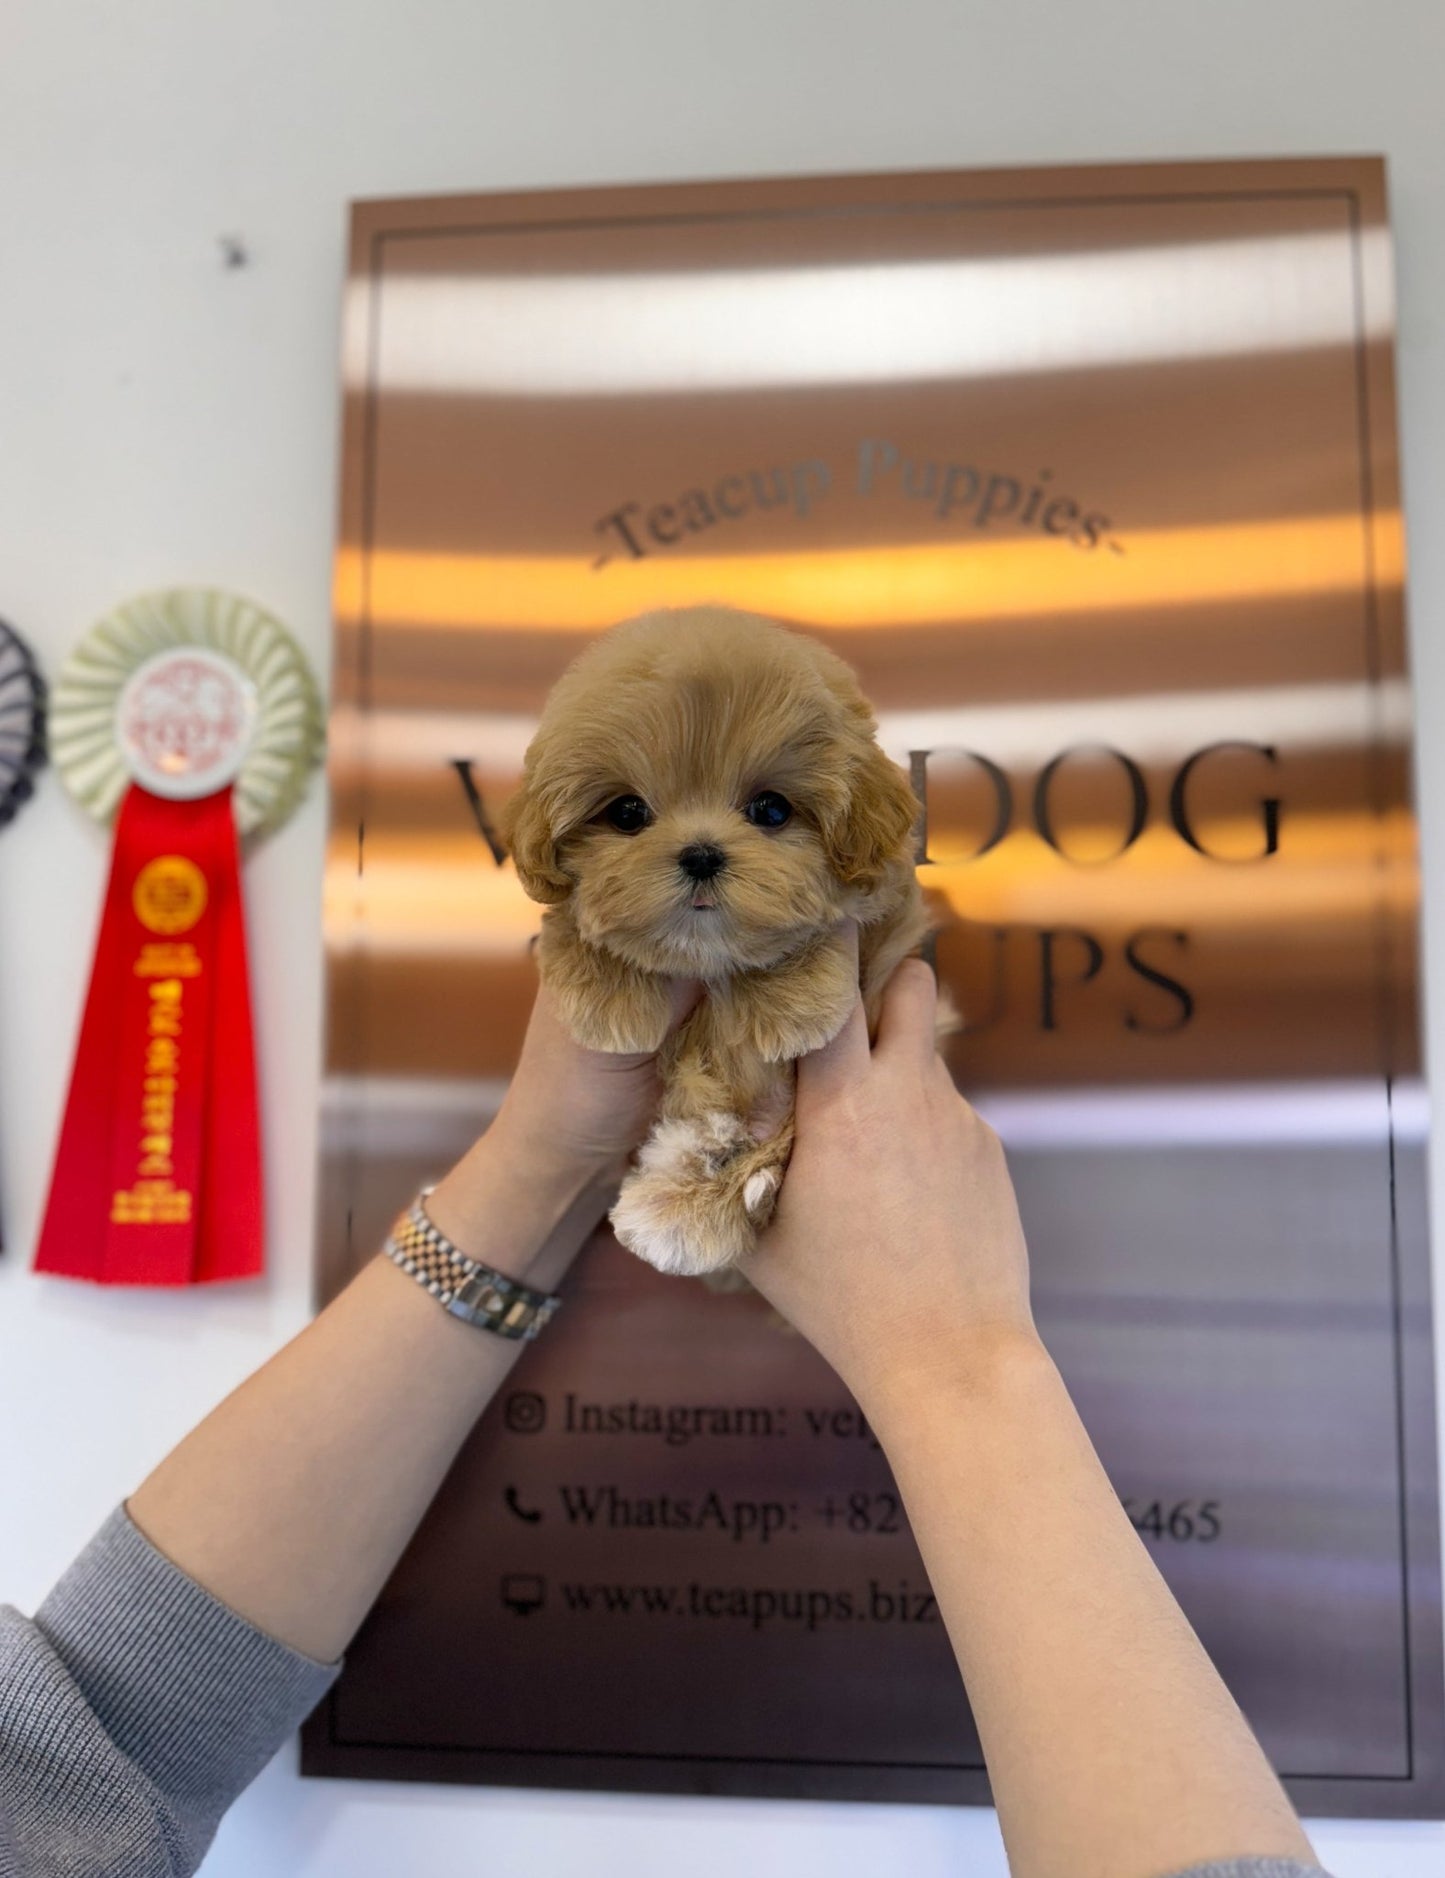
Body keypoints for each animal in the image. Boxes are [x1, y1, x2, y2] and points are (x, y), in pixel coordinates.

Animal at [503, 600, 935, 1277]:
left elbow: (818, 929)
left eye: (772, 810)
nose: (701, 854)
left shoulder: (888, 923)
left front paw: (790, 1004)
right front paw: (608, 1000)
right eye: (627, 813)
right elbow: (574, 921)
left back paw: (691, 1205)